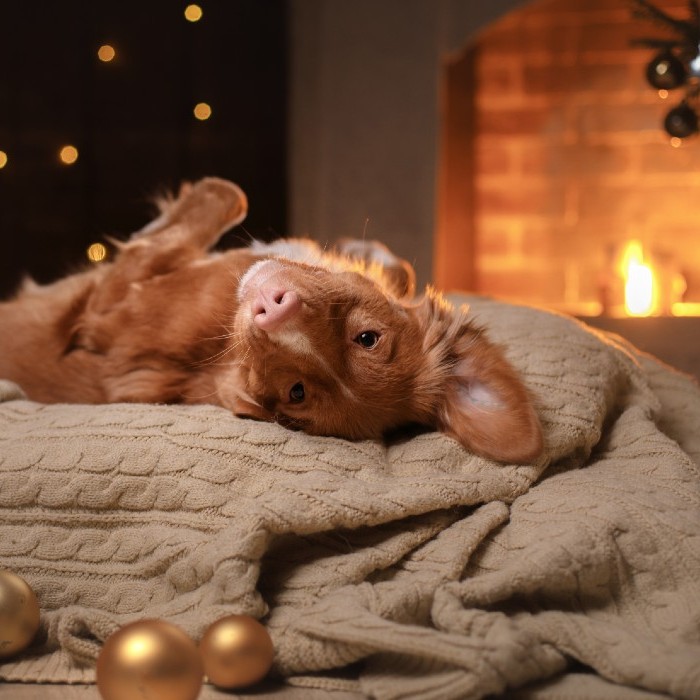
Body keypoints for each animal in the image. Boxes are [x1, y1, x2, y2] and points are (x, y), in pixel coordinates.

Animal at [0, 175, 540, 462]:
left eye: (295, 393)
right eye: (367, 338)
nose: (272, 308)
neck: (224, 350)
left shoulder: (106, 306)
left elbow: (218, 200)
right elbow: (397, 267)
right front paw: (370, 252)